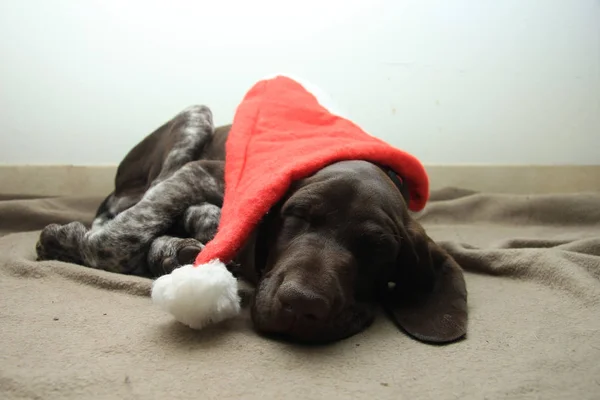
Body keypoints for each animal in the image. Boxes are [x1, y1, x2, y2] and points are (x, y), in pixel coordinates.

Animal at [36, 105, 468, 344]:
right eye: (295, 216)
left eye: (377, 249)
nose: (302, 304)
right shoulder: (200, 171)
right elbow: (112, 244)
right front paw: (65, 238)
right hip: (193, 119)